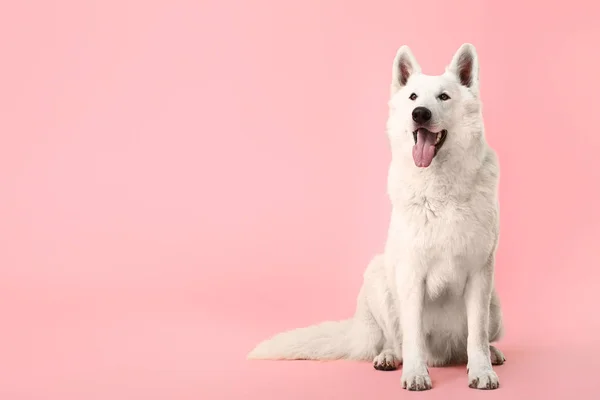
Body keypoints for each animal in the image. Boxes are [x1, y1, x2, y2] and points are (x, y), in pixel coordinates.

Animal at [246, 43, 504, 390]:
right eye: (413, 97)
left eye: (443, 97)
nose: (419, 113)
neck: (439, 189)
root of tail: (443, 355)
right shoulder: (411, 274)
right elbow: (412, 336)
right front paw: (415, 373)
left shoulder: (479, 275)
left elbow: (476, 335)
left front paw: (481, 371)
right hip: (378, 275)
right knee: (395, 339)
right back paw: (390, 357)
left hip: (495, 304)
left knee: (475, 339)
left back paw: (492, 354)